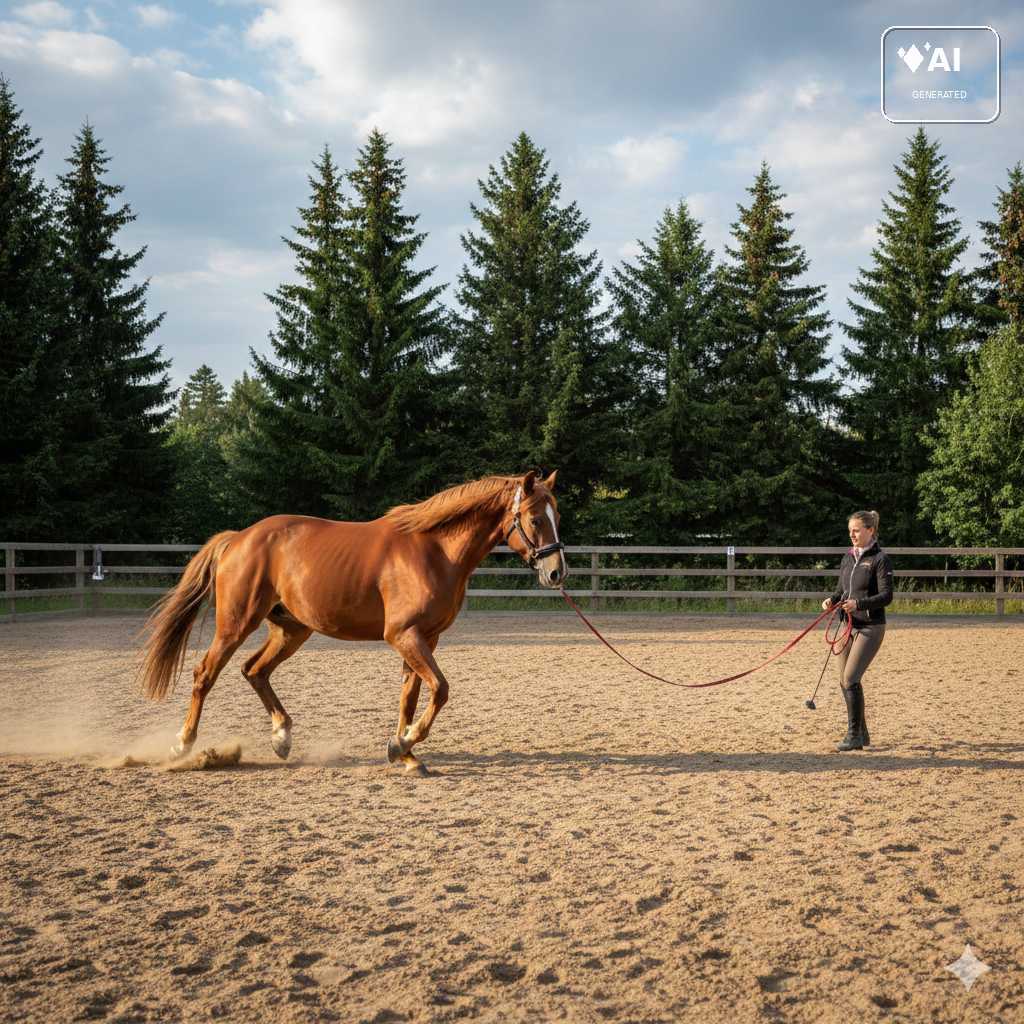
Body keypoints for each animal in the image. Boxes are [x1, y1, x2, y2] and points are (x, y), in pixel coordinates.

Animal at [138, 471, 566, 773]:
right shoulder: (404, 636)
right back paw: (183, 744)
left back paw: (281, 736)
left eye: (556, 515)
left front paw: (403, 752)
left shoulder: (424, 639)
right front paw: (405, 742)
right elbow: (440, 689)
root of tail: (239, 538)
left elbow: (411, 696)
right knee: (205, 674)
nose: (556, 572)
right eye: (534, 519)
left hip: (291, 630)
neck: (434, 551)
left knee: (254, 670)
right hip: (236, 624)